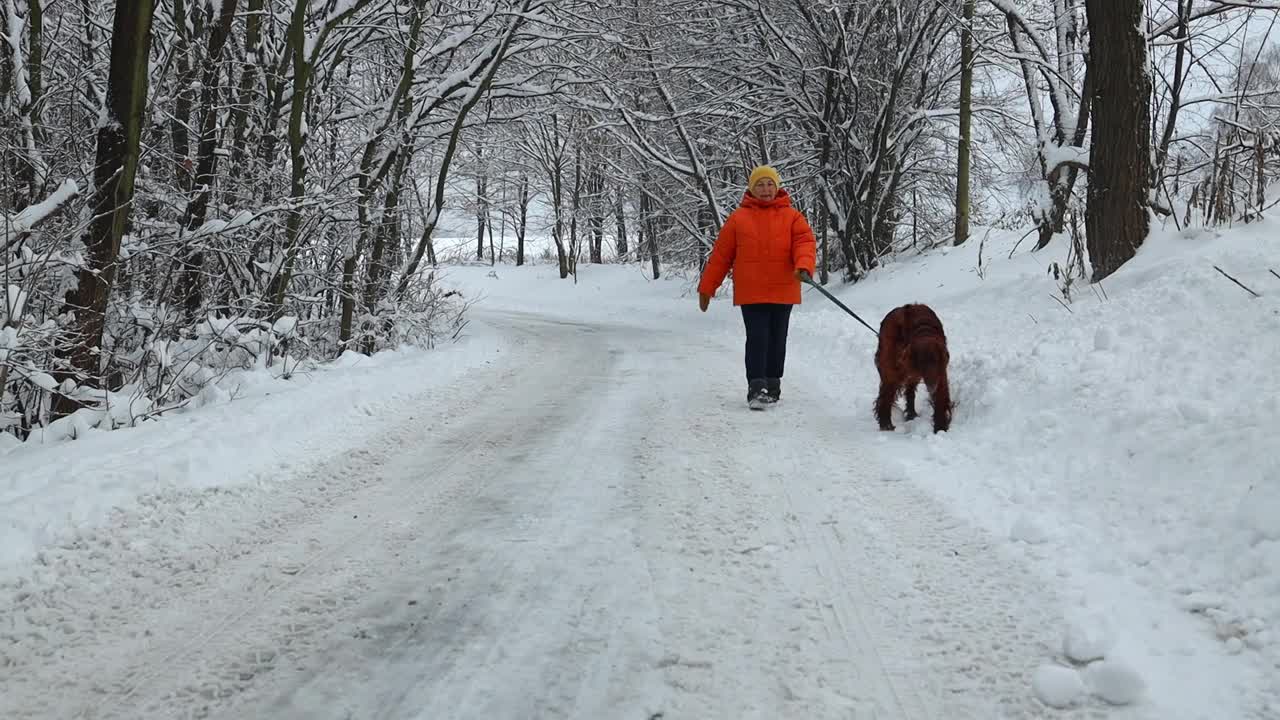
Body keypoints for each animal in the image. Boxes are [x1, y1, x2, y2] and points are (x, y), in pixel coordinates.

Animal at [870, 302, 952, 430]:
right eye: (922, 362)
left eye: (936, 361)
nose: (932, 387)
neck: (923, 331)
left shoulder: (940, 372)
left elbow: (940, 397)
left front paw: (940, 428)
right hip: (892, 367)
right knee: (885, 396)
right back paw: (886, 424)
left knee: (909, 392)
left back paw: (911, 414)